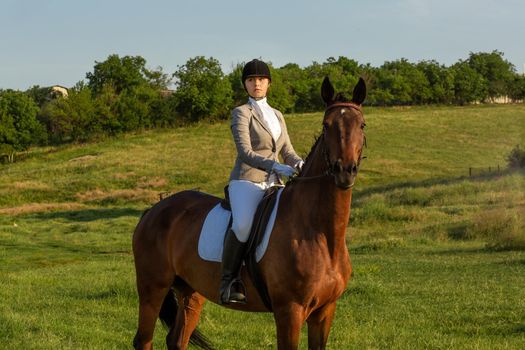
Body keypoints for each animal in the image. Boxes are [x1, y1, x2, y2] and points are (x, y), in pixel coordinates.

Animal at [133, 76, 366, 350]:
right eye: (326, 125)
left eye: (361, 124)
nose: (345, 172)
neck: (319, 233)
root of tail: (154, 210)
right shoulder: (289, 311)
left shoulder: (325, 311)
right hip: (152, 287)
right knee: (143, 340)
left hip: (191, 291)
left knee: (177, 339)